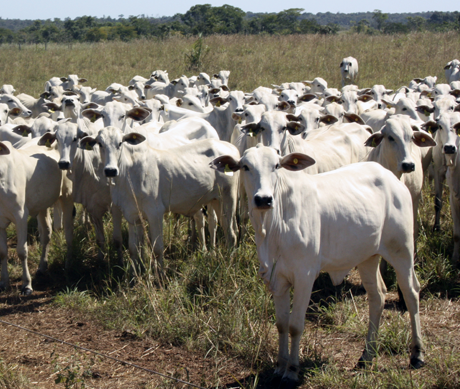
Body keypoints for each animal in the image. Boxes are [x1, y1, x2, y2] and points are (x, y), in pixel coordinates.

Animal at [211, 144, 424, 384]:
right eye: (245, 166)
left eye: (276, 165)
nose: (263, 199)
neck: (273, 227)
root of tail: (392, 179)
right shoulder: (277, 279)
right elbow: (281, 324)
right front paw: (280, 365)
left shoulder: (304, 276)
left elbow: (295, 325)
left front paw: (292, 370)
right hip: (368, 257)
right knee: (377, 296)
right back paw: (366, 356)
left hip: (402, 250)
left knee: (411, 292)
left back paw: (417, 354)